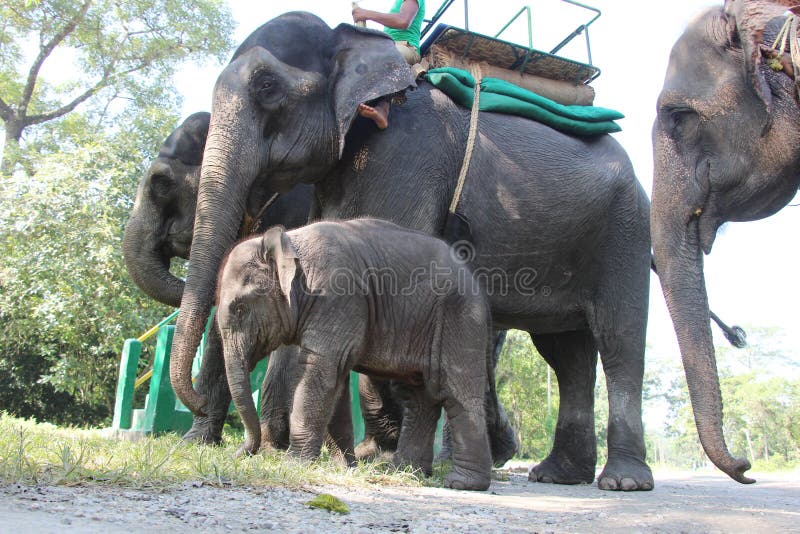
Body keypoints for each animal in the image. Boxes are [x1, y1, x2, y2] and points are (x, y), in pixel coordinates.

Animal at [219, 220, 494, 492]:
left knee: (455, 393)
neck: (289, 241)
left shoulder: (336, 298)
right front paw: (344, 467)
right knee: (418, 399)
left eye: (240, 308)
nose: (237, 454)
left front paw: (293, 465)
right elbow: (335, 382)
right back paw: (407, 472)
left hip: (461, 320)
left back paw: (462, 483)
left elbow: (320, 372)